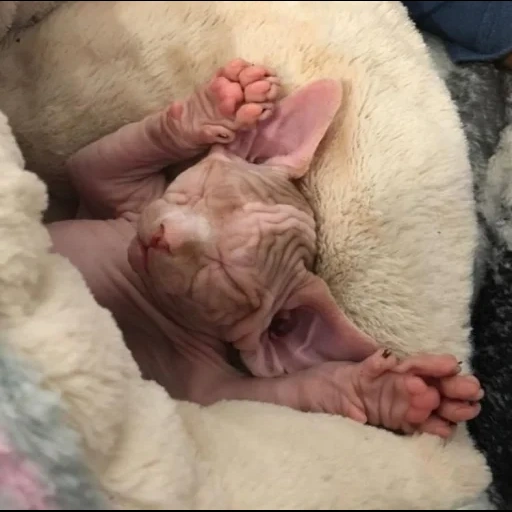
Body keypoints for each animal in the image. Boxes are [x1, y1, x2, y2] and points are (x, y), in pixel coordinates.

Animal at [48, 59, 484, 436]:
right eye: (201, 193)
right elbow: (93, 161)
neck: (145, 292)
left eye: (225, 272)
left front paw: (387, 392)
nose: (162, 237)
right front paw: (220, 106)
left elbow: (271, 393)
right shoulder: (119, 198)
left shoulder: (204, 390)